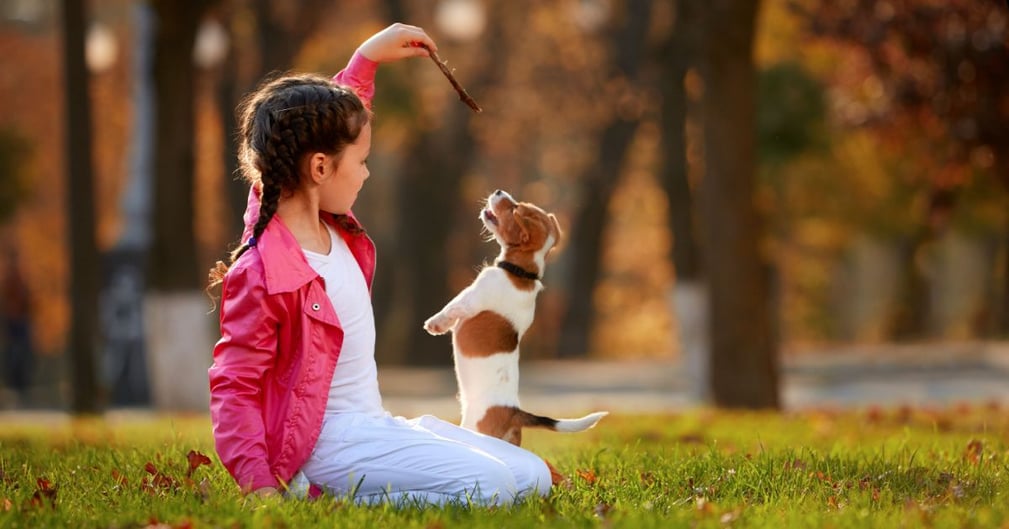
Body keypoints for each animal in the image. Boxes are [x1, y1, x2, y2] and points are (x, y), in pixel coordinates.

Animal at [423, 189, 605, 446]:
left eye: (514, 208)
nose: (499, 191)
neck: (521, 272)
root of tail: (513, 412)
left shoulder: (471, 298)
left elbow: (451, 308)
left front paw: (435, 324)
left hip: (473, 428)